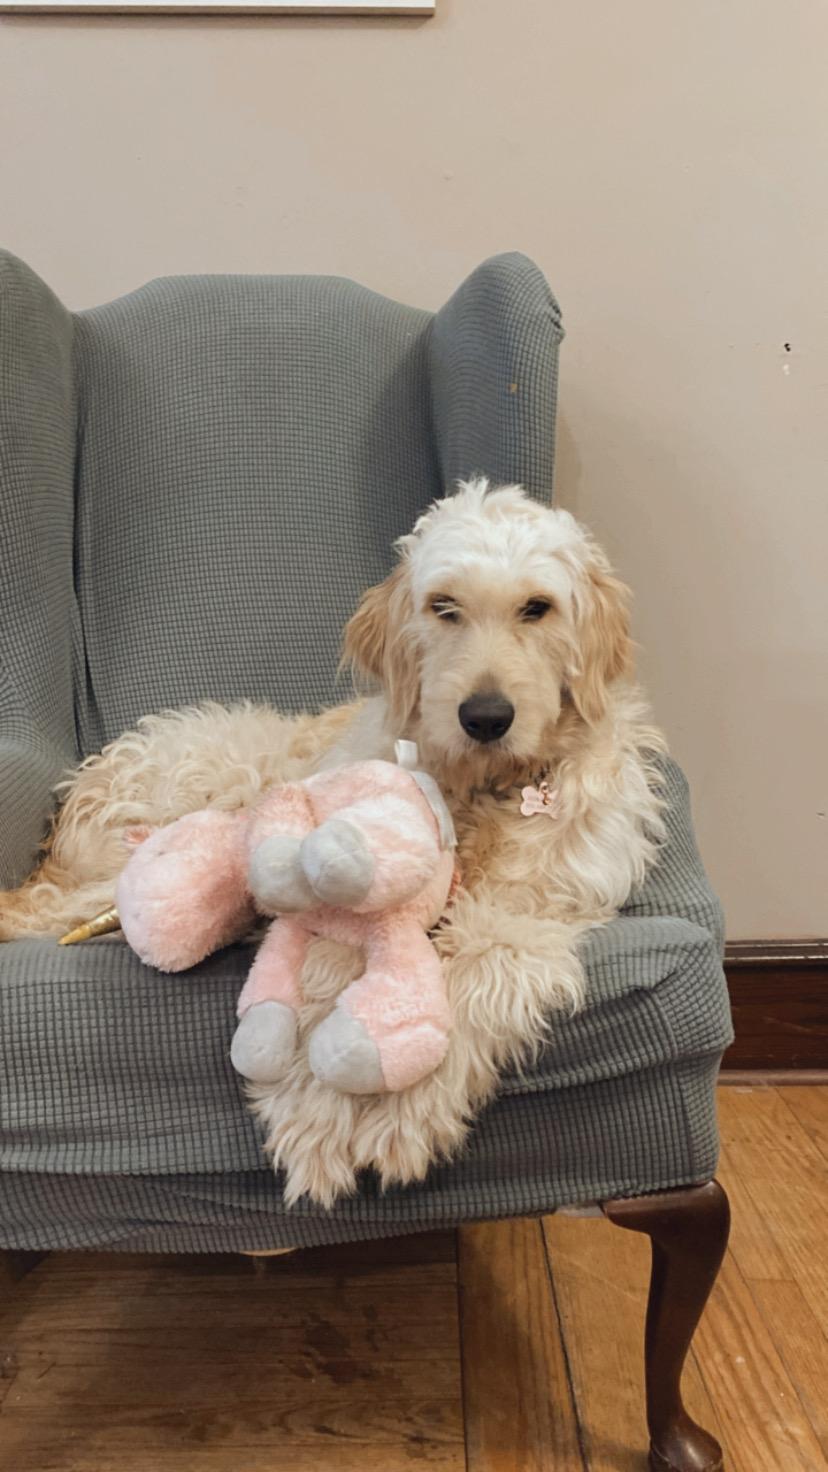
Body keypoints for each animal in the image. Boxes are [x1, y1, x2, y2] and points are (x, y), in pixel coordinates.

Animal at [0, 479, 666, 1203]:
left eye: (537, 608)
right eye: (444, 607)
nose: (486, 718)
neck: (482, 789)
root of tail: (88, 778)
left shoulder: (529, 914)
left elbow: (473, 973)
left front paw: (399, 1105)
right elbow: (325, 964)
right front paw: (315, 1113)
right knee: (39, 906)